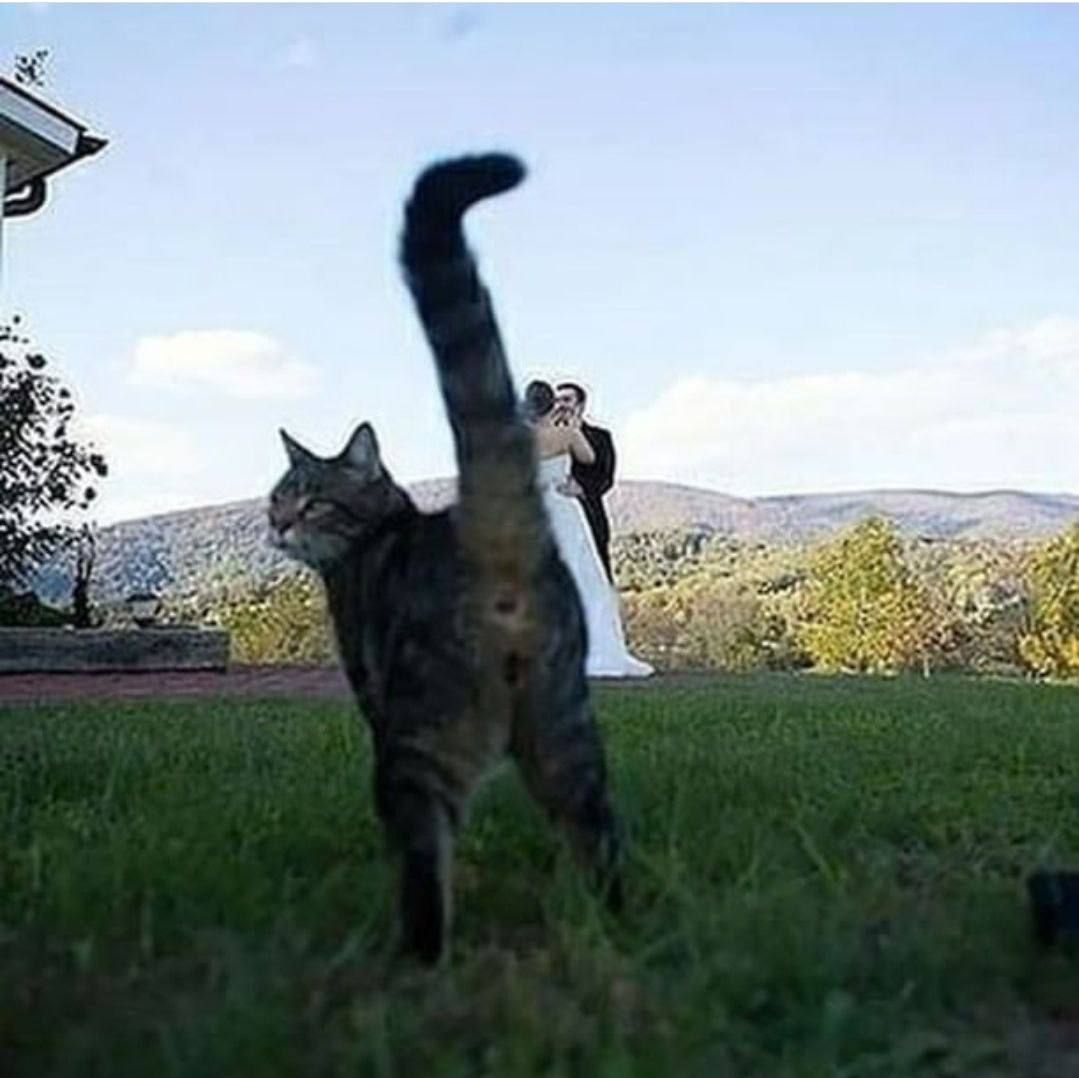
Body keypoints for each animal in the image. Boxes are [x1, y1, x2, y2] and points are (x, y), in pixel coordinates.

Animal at [268, 153, 623, 964]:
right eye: (276, 498)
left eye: (309, 500)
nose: (276, 526)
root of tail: (495, 535)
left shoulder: (375, 696)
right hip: (562, 728)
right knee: (600, 833)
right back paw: (614, 928)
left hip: (419, 741)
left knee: (425, 860)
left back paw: (415, 958)